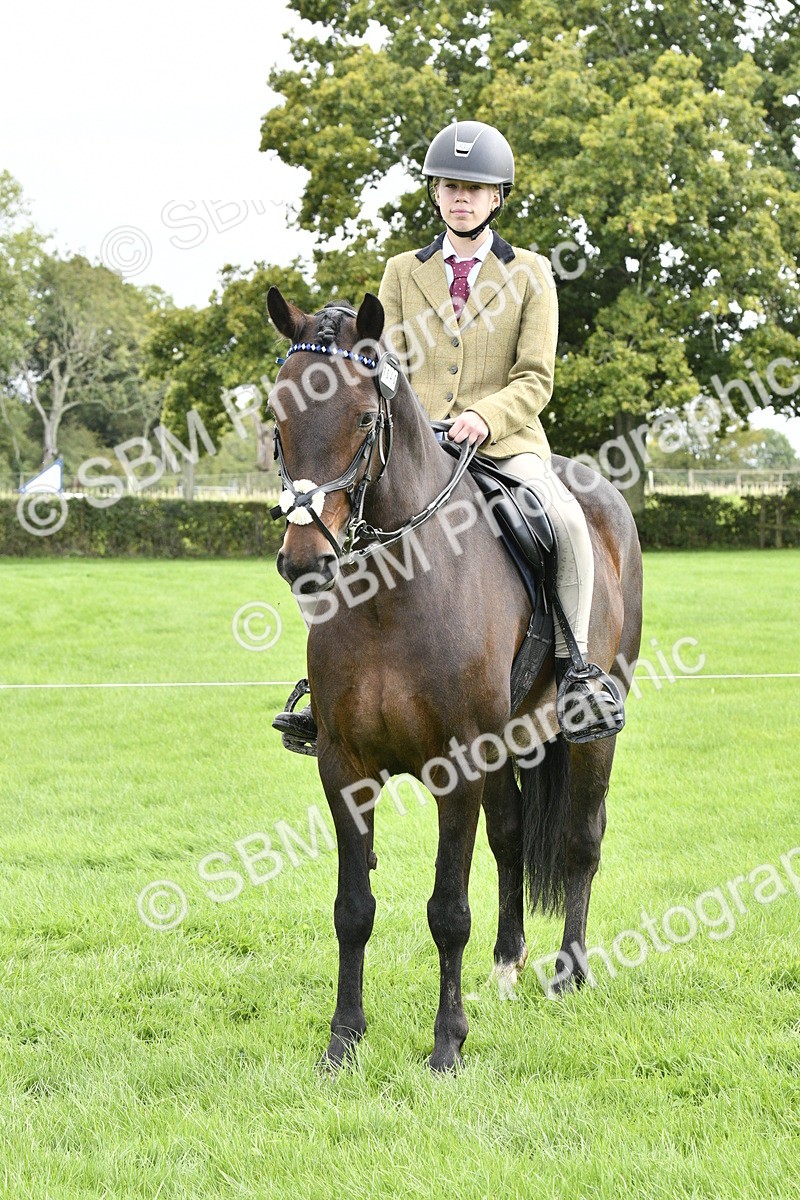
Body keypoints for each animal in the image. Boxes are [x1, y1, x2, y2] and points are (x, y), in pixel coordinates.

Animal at [266, 286, 643, 1072]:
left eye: (362, 417)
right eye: (277, 419)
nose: (304, 563)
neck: (392, 593)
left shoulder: (456, 764)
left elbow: (447, 910)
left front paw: (446, 1047)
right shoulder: (345, 766)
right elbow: (353, 909)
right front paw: (343, 1041)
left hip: (590, 731)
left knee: (581, 837)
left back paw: (569, 973)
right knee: (510, 837)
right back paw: (505, 965)